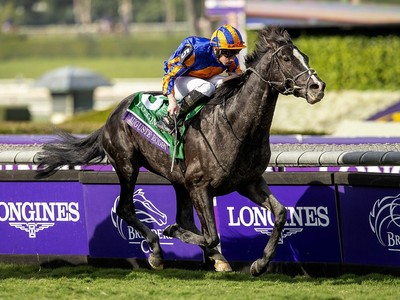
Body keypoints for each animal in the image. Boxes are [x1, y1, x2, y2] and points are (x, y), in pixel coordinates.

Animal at [36, 26, 326, 276]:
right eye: (286, 58)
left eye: (305, 56)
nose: (318, 87)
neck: (234, 126)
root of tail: (113, 113)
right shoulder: (200, 185)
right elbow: (211, 235)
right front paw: (173, 234)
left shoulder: (249, 182)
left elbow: (280, 214)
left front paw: (259, 263)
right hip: (127, 164)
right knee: (127, 208)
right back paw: (156, 251)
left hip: (178, 181)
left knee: (183, 217)